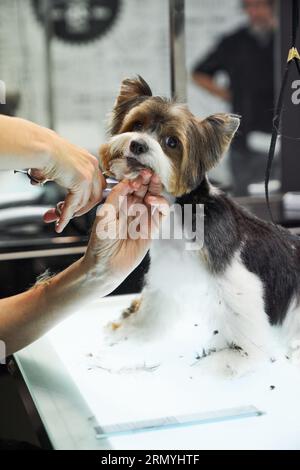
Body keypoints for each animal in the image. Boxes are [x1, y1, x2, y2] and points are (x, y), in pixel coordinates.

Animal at [99, 77, 300, 376]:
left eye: (171, 142)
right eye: (136, 124)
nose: (137, 145)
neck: (181, 210)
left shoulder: (234, 278)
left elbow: (245, 323)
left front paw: (239, 358)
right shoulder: (167, 273)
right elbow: (153, 308)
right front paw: (132, 331)